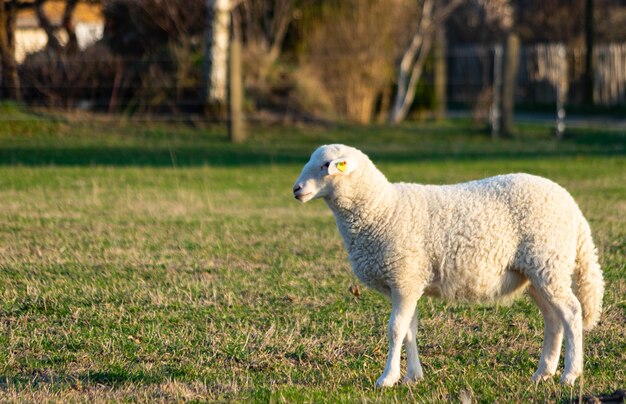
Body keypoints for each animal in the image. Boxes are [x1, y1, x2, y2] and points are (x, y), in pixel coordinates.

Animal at [292, 144, 604, 386]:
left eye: (326, 166)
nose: (296, 189)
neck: (381, 209)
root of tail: (573, 208)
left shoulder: (404, 277)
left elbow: (395, 329)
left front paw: (387, 378)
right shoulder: (408, 282)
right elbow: (410, 329)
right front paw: (412, 377)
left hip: (548, 261)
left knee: (572, 312)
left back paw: (570, 375)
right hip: (536, 272)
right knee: (553, 319)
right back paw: (543, 373)